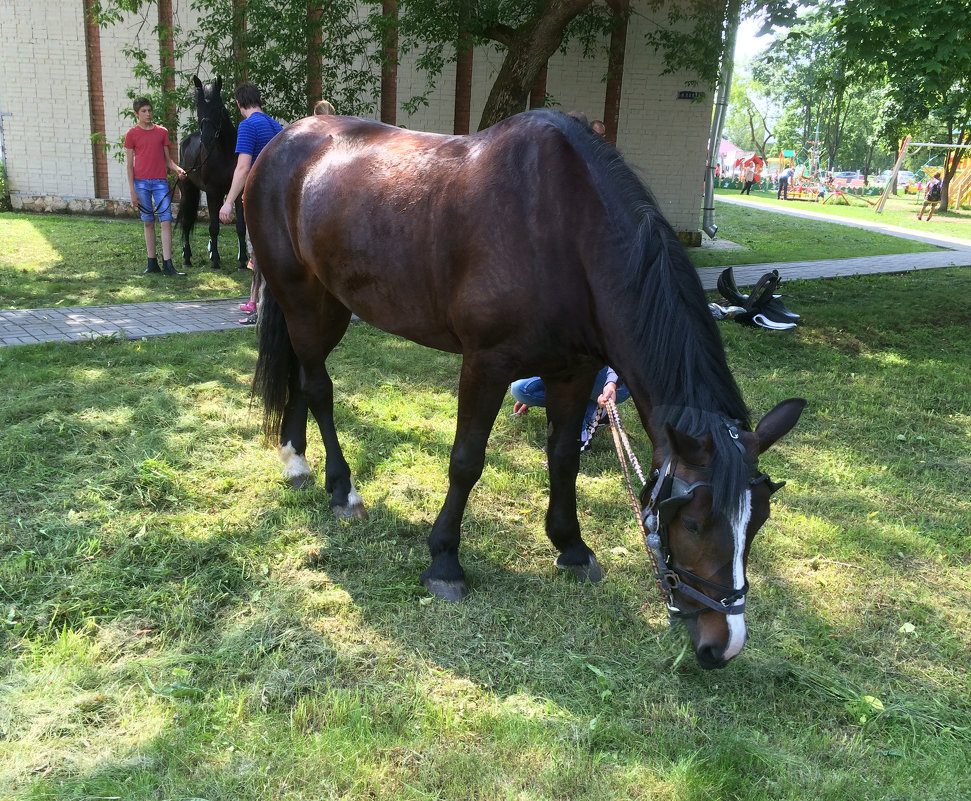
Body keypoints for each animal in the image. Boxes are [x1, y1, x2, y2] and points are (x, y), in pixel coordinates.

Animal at [177, 78, 249, 272]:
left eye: (218, 107)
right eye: (198, 106)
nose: (207, 139)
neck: (224, 152)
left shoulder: (237, 192)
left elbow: (240, 226)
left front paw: (243, 261)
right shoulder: (212, 191)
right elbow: (214, 226)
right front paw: (215, 261)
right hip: (188, 191)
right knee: (186, 222)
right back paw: (187, 258)